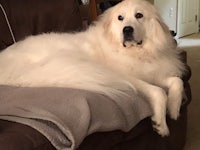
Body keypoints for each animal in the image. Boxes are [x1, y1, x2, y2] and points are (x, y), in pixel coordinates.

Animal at [0, 0, 186, 136]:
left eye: (139, 15)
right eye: (120, 18)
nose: (127, 30)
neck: (135, 52)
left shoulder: (154, 72)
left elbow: (177, 82)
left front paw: (174, 109)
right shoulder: (129, 78)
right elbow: (159, 92)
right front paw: (161, 125)